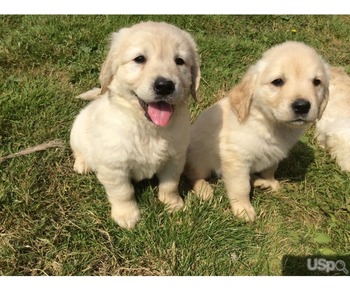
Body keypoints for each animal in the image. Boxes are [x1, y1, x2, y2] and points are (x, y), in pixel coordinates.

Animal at [69, 21, 200, 229]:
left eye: (179, 61)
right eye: (139, 59)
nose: (165, 86)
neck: (147, 127)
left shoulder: (175, 158)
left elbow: (170, 184)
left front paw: (173, 204)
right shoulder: (114, 167)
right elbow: (123, 193)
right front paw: (126, 215)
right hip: (77, 131)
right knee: (77, 150)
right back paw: (82, 164)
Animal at [185, 41, 330, 221]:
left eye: (317, 82)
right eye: (278, 82)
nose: (302, 106)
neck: (269, 123)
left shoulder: (274, 154)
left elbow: (270, 169)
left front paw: (270, 182)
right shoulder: (237, 160)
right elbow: (241, 187)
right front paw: (243, 209)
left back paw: (260, 182)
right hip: (200, 160)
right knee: (192, 175)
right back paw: (204, 189)